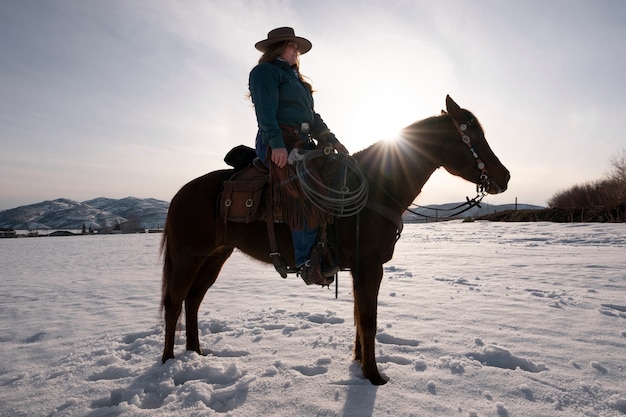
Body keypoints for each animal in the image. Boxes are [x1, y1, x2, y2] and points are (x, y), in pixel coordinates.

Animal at [158, 94, 510, 384]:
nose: (504, 177)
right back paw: (168, 361)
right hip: (189, 257)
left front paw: (359, 364)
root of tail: (180, 194)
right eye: (474, 136)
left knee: (193, 300)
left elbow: (358, 316)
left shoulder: (359, 269)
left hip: (215, 256)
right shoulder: (370, 266)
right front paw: (374, 377)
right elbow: (368, 319)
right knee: (174, 302)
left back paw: (195, 353)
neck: (377, 186)